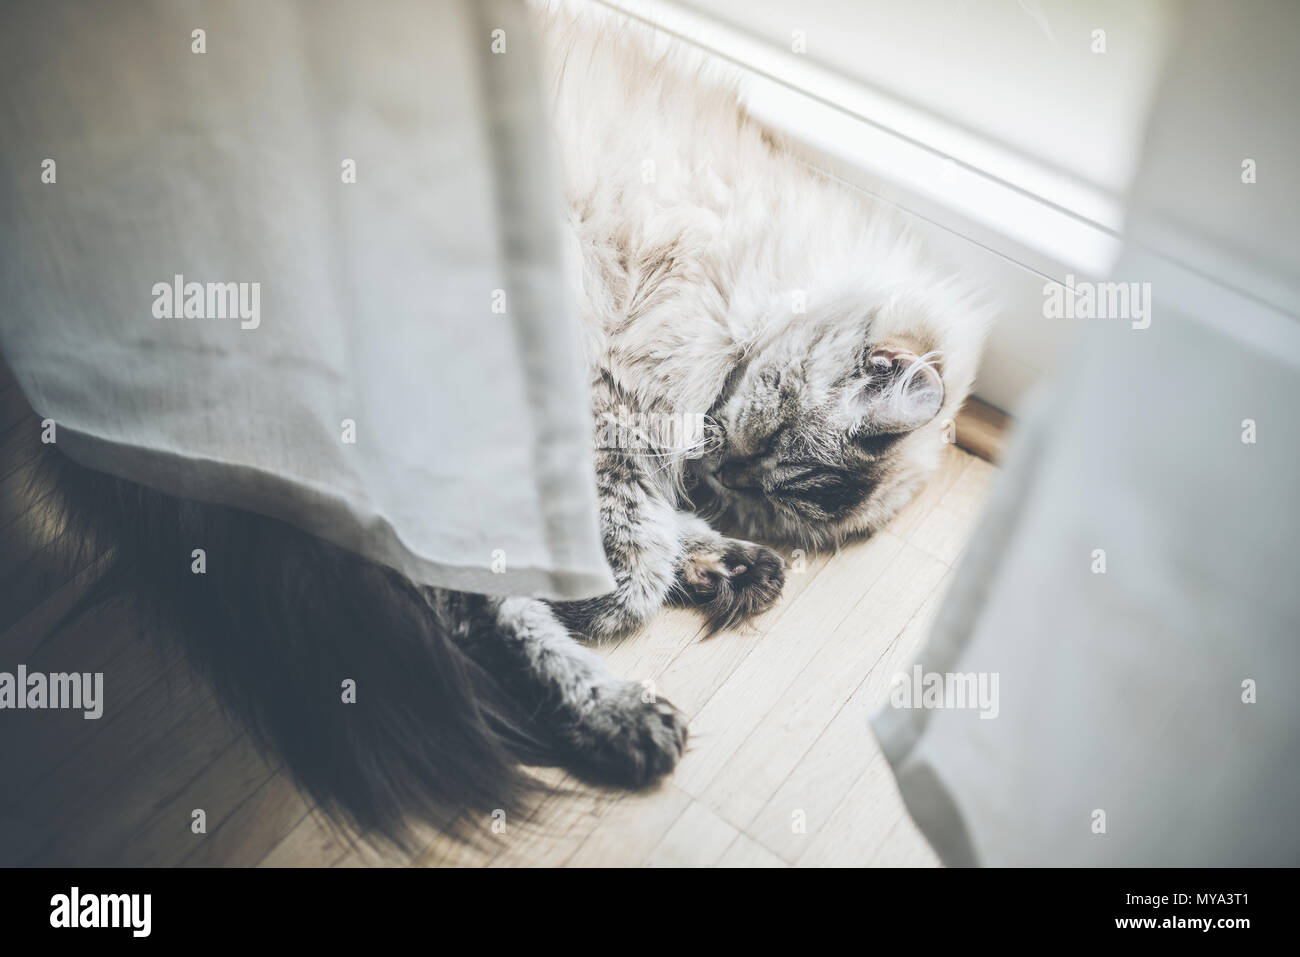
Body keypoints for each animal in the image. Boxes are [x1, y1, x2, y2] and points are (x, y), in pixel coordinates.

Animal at [38, 5, 982, 842]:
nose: (725, 479)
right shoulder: (613, 386)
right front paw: (632, 581)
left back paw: (710, 587)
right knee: (473, 604)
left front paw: (708, 551)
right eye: (766, 443)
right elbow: (626, 522)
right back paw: (624, 713)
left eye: (762, 484)